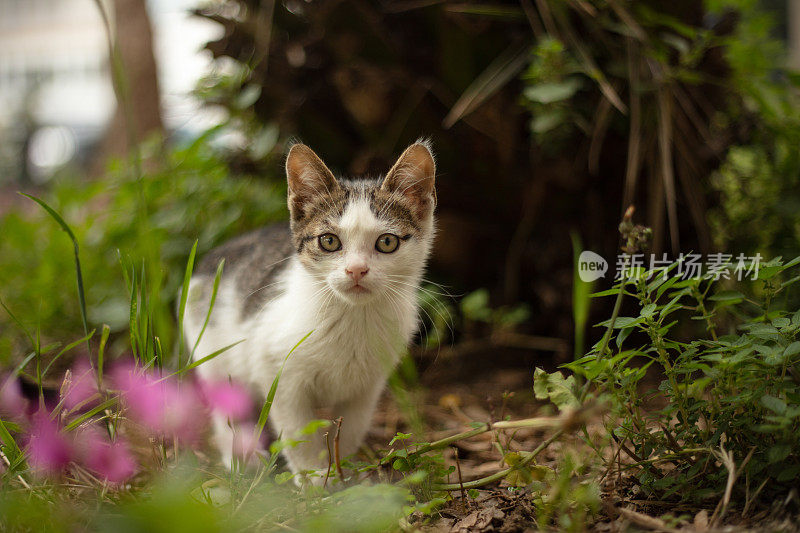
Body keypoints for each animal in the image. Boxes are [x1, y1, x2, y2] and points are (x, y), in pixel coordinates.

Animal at [184, 139, 438, 480]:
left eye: (387, 242)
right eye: (329, 241)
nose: (356, 270)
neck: (352, 317)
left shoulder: (369, 385)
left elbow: (351, 427)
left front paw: (346, 471)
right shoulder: (278, 373)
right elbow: (297, 431)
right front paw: (314, 479)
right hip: (212, 351)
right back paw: (241, 454)